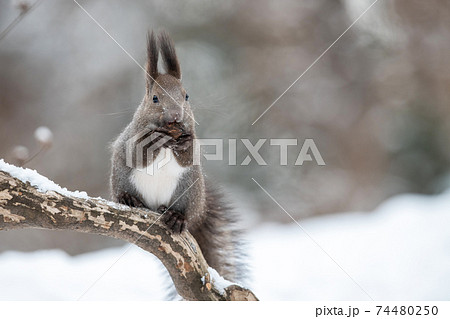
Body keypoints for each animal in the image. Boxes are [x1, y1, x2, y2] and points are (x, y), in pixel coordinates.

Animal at [110, 30, 243, 284]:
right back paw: (129, 199)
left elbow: (189, 155)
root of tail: (155, 205)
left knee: (188, 215)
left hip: (189, 191)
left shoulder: (193, 137)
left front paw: (184, 144)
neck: (168, 138)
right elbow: (135, 154)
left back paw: (176, 217)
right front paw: (152, 141)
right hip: (122, 179)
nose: (175, 115)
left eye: (186, 96)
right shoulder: (131, 136)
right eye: (154, 98)